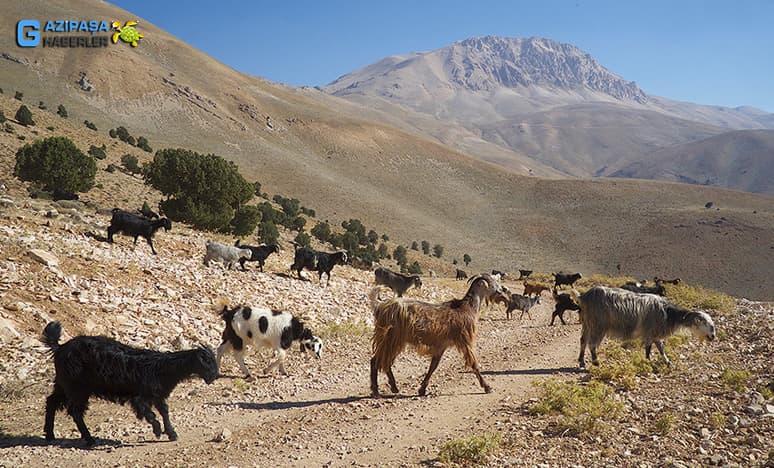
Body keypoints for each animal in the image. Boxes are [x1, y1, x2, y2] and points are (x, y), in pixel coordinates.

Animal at [42, 322, 218, 446]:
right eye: (207, 362)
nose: (215, 375)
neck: (161, 368)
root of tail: (60, 348)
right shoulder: (140, 396)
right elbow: (150, 413)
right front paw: (157, 430)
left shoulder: (157, 394)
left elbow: (164, 411)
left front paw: (171, 433)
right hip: (77, 388)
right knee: (75, 411)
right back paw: (89, 439)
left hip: (64, 384)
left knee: (52, 401)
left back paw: (50, 435)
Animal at [372, 272, 510, 396]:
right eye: (493, 282)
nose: (502, 289)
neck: (468, 307)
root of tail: (381, 307)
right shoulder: (465, 339)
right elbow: (473, 363)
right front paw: (487, 387)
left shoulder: (441, 345)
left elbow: (433, 366)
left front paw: (422, 389)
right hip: (392, 337)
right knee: (379, 360)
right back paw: (379, 389)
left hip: (390, 338)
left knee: (380, 360)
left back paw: (388, 388)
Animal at [572, 286, 720, 370]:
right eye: (705, 323)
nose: (713, 336)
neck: (667, 313)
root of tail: (583, 296)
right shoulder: (650, 332)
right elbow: (648, 349)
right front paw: (649, 363)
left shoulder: (655, 334)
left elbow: (661, 349)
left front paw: (668, 363)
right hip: (598, 325)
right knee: (592, 344)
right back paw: (596, 363)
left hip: (587, 324)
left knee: (583, 340)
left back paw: (582, 362)